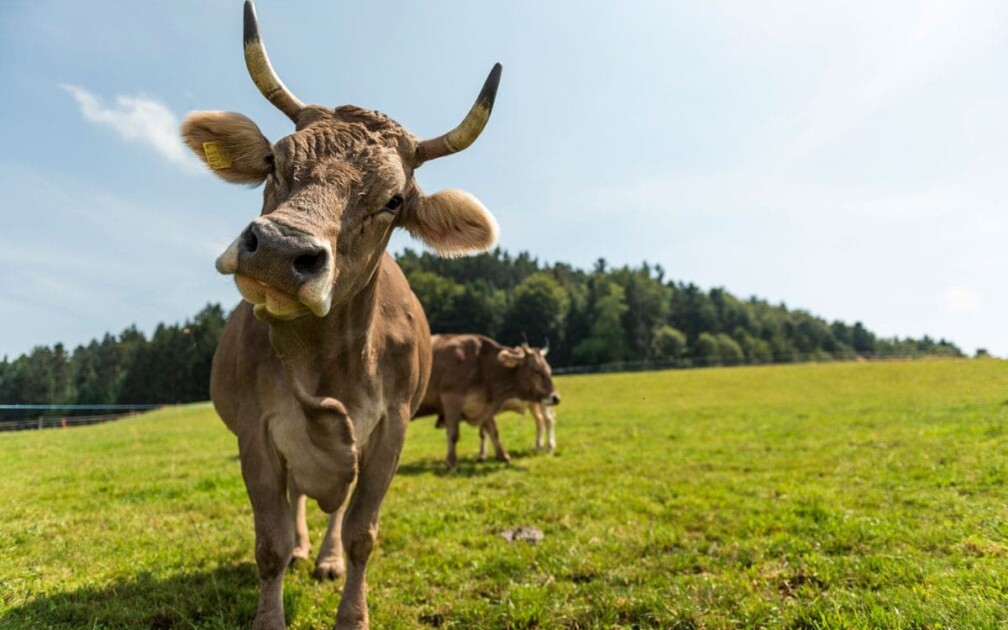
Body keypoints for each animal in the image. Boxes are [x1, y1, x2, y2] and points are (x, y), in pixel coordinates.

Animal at [180, 3, 502, 628]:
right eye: (275, 159)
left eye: (394, 201)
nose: (280, 249)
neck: (323, 360)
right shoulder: (257, 430)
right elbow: (271, 541)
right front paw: (272, 609)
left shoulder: (390, 429)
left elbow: (360, 531)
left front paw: (353, 610)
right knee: (299, 504)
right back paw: (306, 548)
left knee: (335, 506)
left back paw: (324, 558)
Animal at [415, 334, 560, 467]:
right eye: (536, 370)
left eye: (549, 370)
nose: (556, 397)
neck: (480, 364)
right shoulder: (452, 401)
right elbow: (455, 434)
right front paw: (452, 462)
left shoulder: (484, 405)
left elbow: (492, 431)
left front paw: (501, 456)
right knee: (543, 419)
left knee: (546, 419)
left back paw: (547, 446)